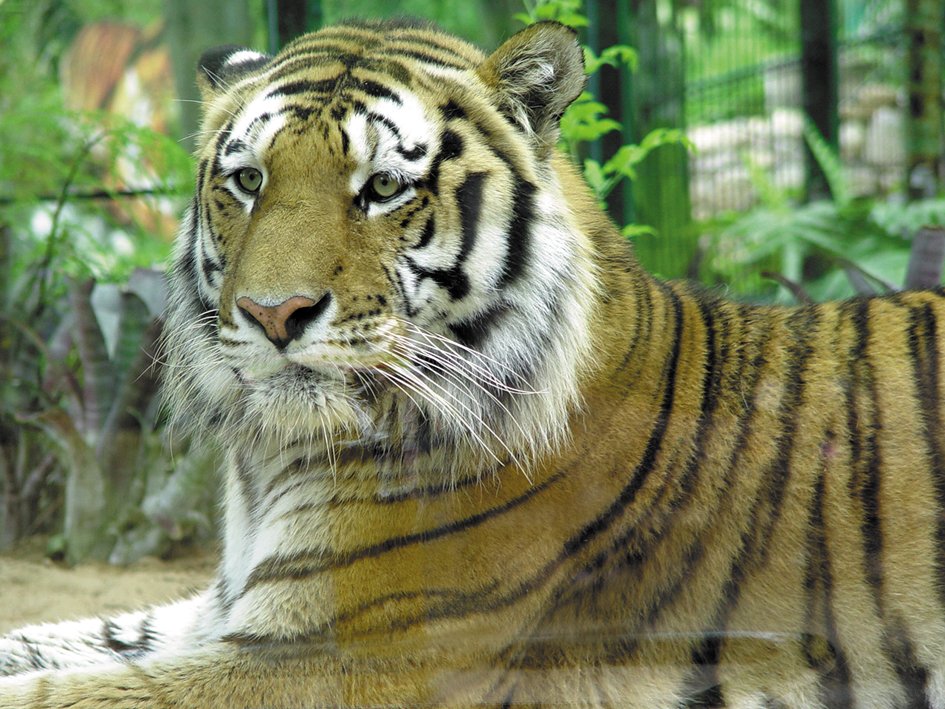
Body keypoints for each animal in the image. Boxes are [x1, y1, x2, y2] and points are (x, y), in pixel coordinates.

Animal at [2, 16, 945, 708]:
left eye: (382, 188)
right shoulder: (223, 611)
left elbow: (67, 688)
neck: (275, 460)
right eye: (247, 181)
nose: (273, 314)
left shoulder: (338, 655)